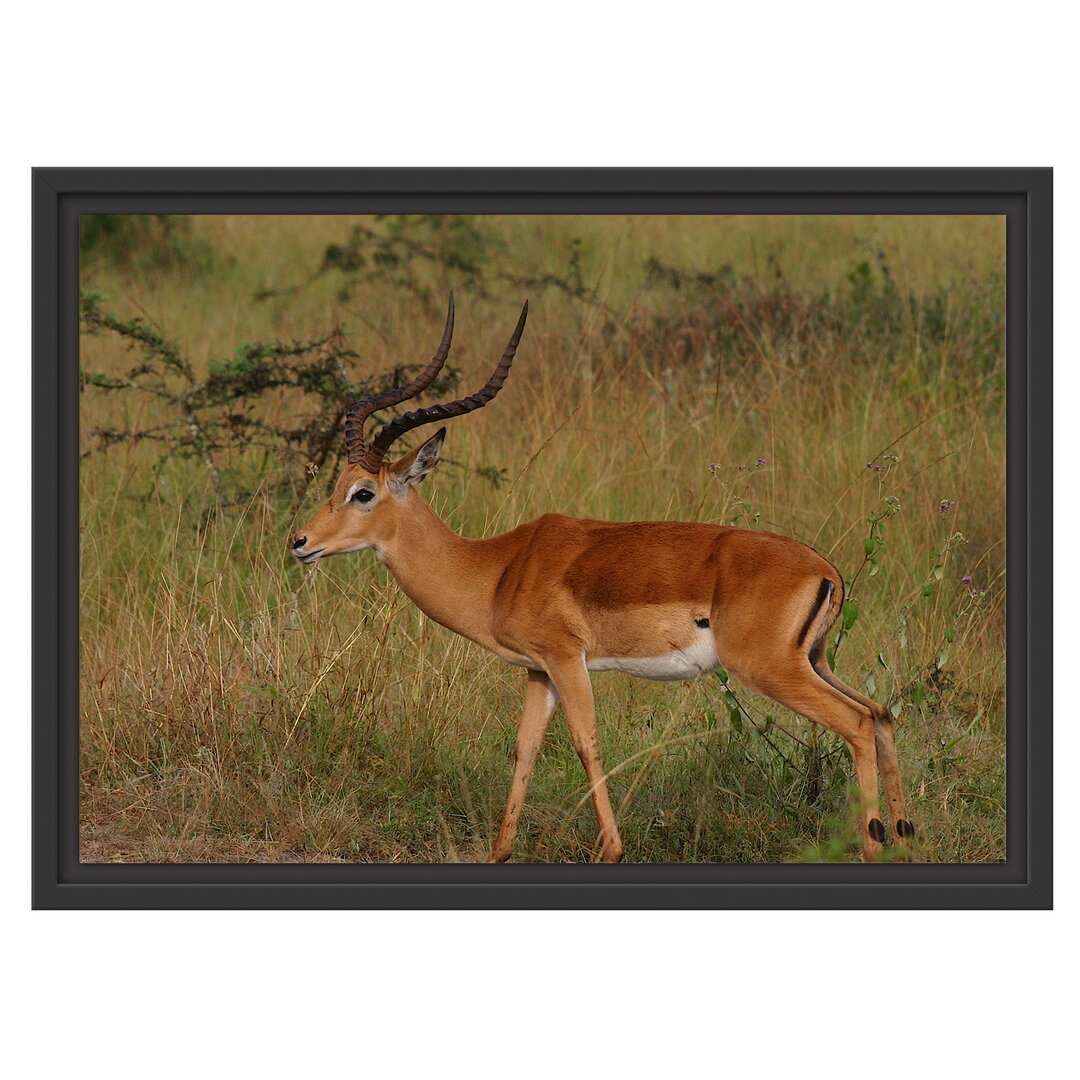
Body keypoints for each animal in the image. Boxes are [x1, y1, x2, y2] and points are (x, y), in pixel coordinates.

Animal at [291, 293, 915, 859]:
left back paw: (873, 846)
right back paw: (904, 838)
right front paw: (500, 852)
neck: (499, 569)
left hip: (770, 668)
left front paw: (610, 850)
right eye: (336, 482)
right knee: (880, 713)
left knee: (857, 724)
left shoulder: (568, 658)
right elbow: (524, 749)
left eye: (363, 492)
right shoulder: (537, 671)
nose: (300, 542)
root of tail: (825, 568)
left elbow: (587, 743)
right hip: (815, 661)